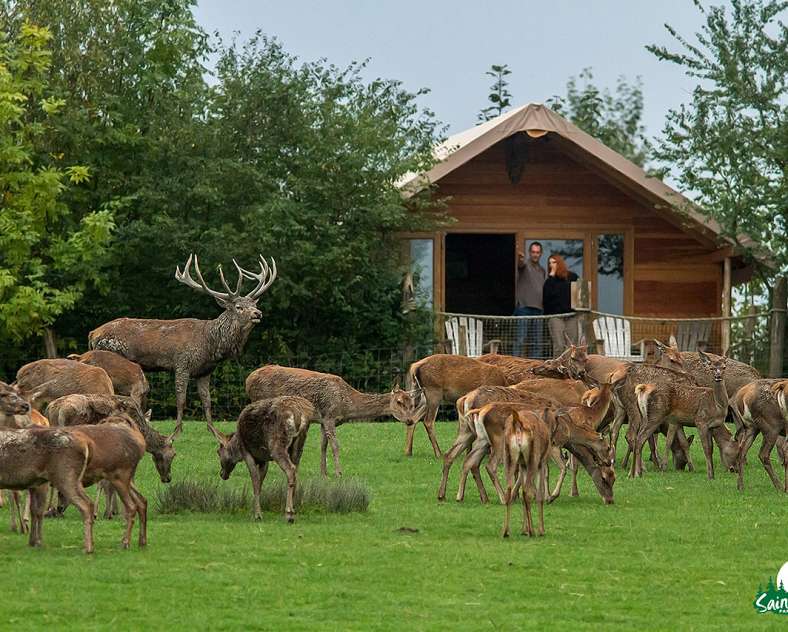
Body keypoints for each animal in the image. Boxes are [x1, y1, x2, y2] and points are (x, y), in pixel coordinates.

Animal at [89, 254, 278, 432]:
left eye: (254, 304)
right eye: (239, 307)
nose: (258, 313)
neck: (211, 344)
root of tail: (93, 333)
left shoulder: (205, 371)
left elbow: (207, 401)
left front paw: (213, 430)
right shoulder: (182, 364)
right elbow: (181, 400)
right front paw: (177, 430)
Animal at [212, 396, 320, 524]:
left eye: (218, 452)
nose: (222, 474)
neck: (237, 446)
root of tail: (298, 413)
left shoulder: (247, 453)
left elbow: (255, 482)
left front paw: (257, 515)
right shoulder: (264, 459)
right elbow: (260, 483)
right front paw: (256, 511)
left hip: (277, 444)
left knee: (290, 469)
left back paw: (289, 514)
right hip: (298, 445)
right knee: (296, 472)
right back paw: (293, 510)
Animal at [248, 362, 422, 476]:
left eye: (411, 402)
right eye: (399, 402)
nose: (410, 420)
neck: (346, 405)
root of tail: (247, 380)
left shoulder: (324, 420)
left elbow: (323, 446)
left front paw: (323, 472)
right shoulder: (329, 416)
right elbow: (336, 446)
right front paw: (339, 473)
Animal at [632, 350, 736, 478]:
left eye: (724, 367)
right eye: (711, 367)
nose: (718, 376)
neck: (717, 406)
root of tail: (642, 389)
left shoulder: (709, 426)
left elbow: (709, 448)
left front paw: (711, 474)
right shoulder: (700, 421)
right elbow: (706, 448)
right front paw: (709, 475)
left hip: (645, 417)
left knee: (637, 438)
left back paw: (633, 473)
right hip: (656, 415)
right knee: (640, 439)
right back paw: (638, 473)